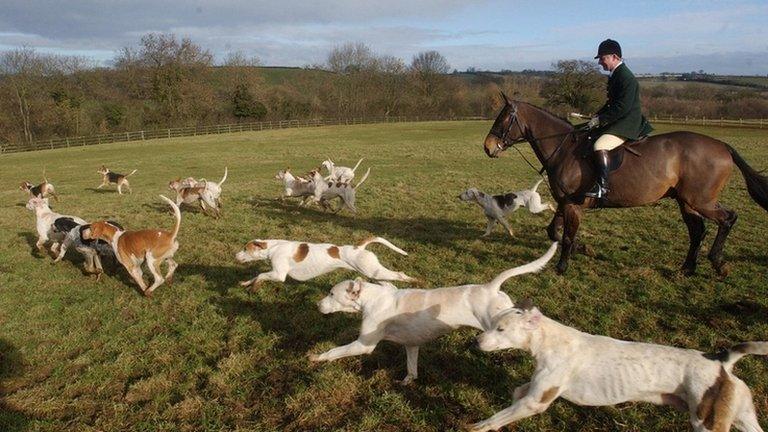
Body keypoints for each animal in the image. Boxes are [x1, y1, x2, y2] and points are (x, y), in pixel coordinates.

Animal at [484, 96, 768, 276]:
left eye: (503, 119)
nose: (487, 148)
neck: (563, 148)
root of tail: (723, 146)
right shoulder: (565, 202)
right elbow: (553, 231)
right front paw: (583, 249)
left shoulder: (573, 205)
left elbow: (566, 235)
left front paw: (562, 267)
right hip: (686, 201)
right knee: (697, 231)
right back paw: (687, 269)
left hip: (702, 200)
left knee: (728, 218)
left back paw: (718, 263)